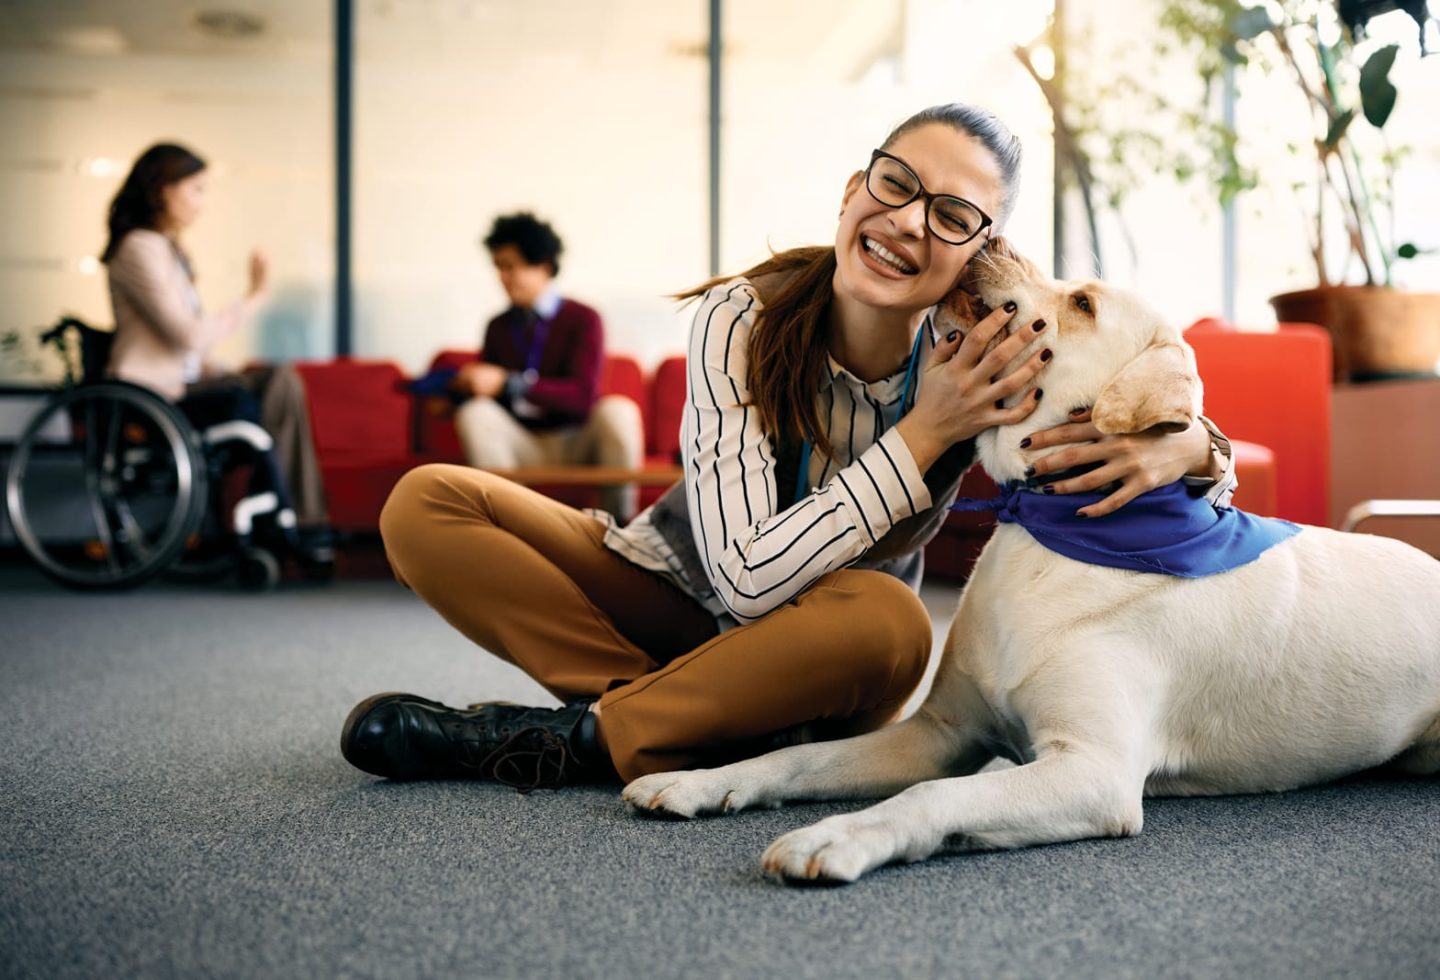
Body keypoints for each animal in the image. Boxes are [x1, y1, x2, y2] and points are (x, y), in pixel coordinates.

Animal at [624, 238, 1440, 886]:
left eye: (1081, 301)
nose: (988, 236)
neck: (1049, 533)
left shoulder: (1092, 770)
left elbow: (934, 796)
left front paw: (834, 839)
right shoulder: (942, 732)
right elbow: (802, 760)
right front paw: (701, 781)